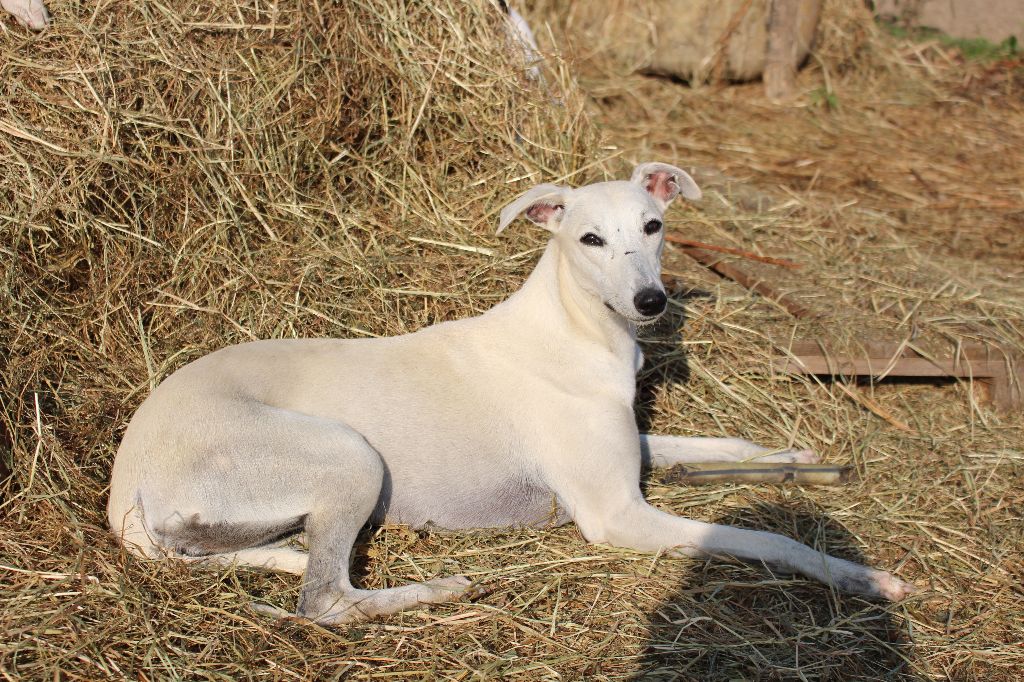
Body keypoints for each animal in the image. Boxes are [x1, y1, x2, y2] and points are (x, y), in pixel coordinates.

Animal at [108, 163, 917, 622]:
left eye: (654, 225)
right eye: (590, 239)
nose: (651, 302)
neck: (575, 332)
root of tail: (125, 487)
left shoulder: (628, 446)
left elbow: (714, 444)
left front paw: (800, 460)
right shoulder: (614, 513)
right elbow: (764, 537)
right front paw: (858, 574)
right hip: (350, 457)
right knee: (324, 603)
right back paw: (436, 591)